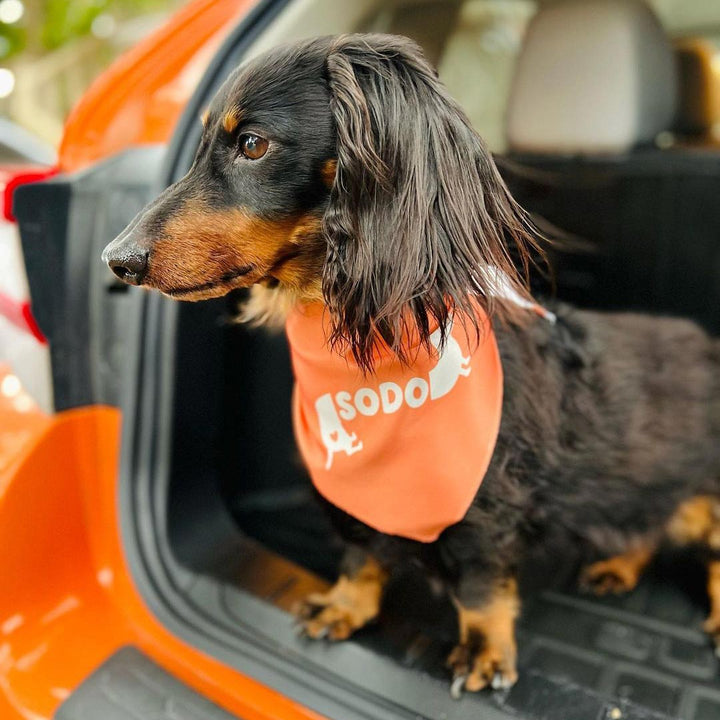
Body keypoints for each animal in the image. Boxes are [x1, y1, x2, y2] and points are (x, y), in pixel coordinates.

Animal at [101, 35, 720, 696]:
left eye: (252, 144)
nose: (117, 260)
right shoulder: (346, 491)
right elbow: (360, 554)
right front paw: (346, 606)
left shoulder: (486, 503)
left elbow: (479, 584)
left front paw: (484, 651)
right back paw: (617, 565)